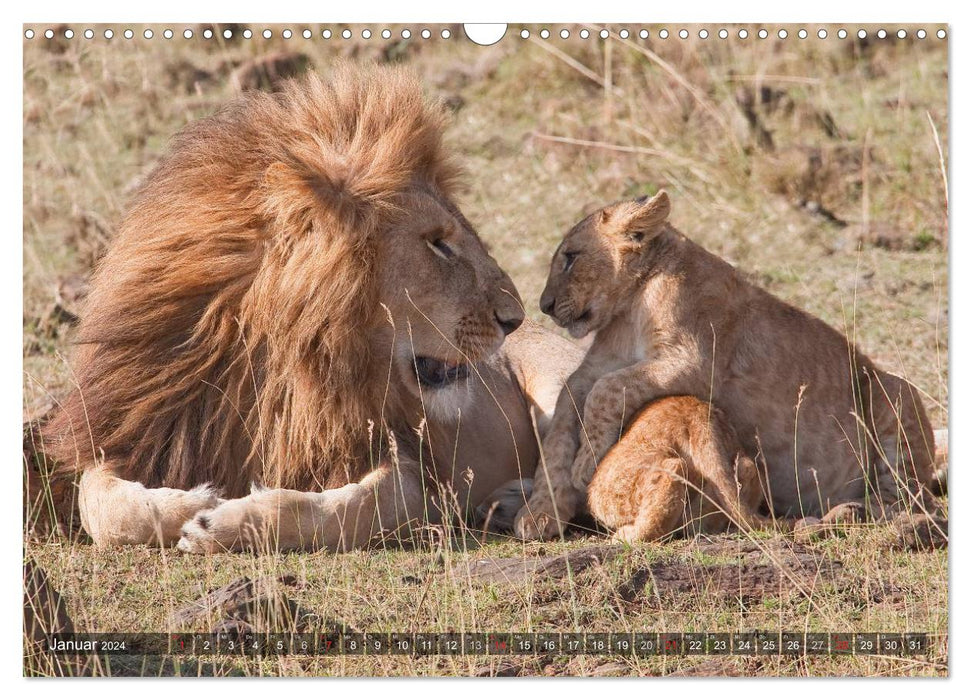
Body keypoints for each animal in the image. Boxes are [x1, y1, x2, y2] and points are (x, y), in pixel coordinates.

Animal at [41, 67, 580, 556]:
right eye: (438, 244)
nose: (514, 318)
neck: (281, 362)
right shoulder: (136, 427)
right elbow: (103, 507)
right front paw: (193, 501)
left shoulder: (409, 470)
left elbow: (340, 510)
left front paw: (222, 522)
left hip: (560, 388)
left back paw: (519, 506)